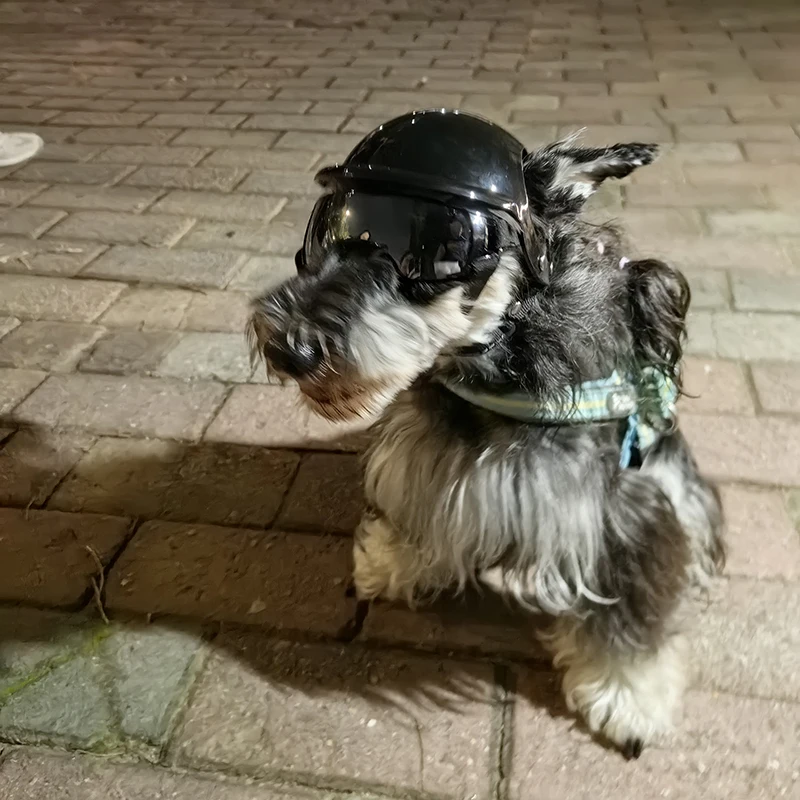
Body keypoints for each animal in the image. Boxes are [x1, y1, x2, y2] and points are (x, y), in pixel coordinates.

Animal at [248, 136, 725, 759]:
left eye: (435, 249)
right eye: (327, 228)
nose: (287, 347)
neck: (505, 362)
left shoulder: (620, 516)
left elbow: (628, 612)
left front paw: (629, 699)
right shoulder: (426, 456)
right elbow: (416, 511)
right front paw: (391, 562)